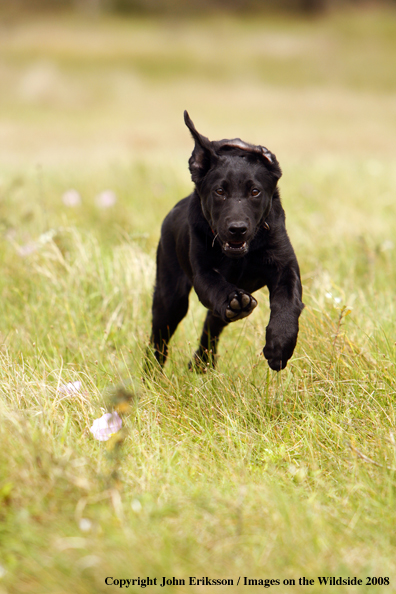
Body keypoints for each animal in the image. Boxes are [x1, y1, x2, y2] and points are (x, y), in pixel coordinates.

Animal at [148, 112, 304, 370]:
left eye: (255, 192)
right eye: (219, 191)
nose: (237, 229)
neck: (242, 255)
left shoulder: (285, 266)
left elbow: (288, 302)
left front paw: (280, 345)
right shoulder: (202, 272)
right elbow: (217, 287)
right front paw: (235, 301)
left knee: (212, 323)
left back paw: (202, 362)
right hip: (170, 296)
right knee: (159, 339)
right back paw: (152, 373)